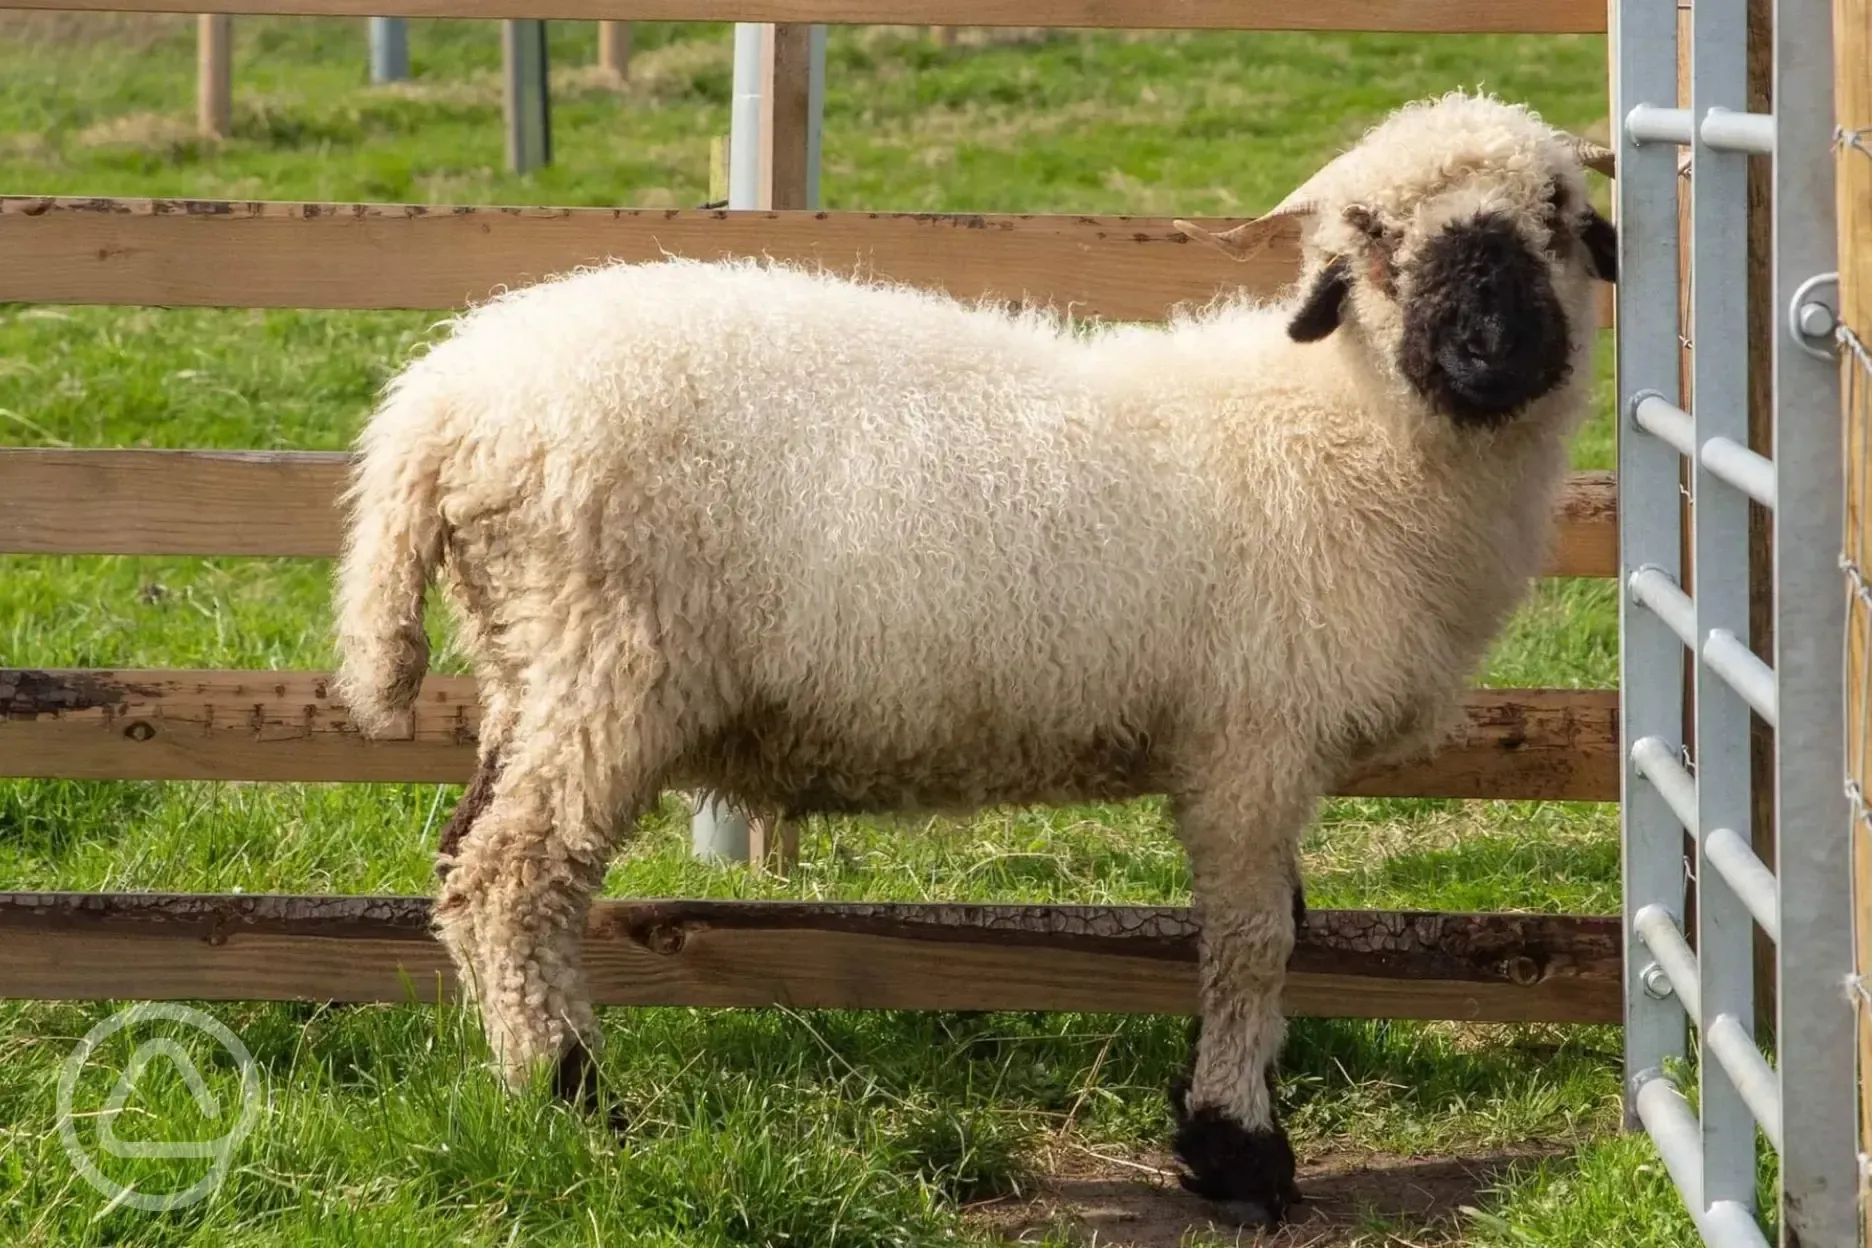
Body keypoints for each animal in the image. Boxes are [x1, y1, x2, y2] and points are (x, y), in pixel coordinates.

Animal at [331, 89, 1617, 1228]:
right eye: (1378, 239)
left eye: (1555, 216)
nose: (1491, 348)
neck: (1340, 429)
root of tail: (438, 404)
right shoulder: (1254, 738)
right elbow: (1255, 943)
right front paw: (1240, 1151)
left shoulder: (1240, 743)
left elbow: (1267, 927)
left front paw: (1212, 1131)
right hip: (609, 661)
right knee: (513, 879)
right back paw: (575, 1103)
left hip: (530, 661)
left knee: (461, 857)